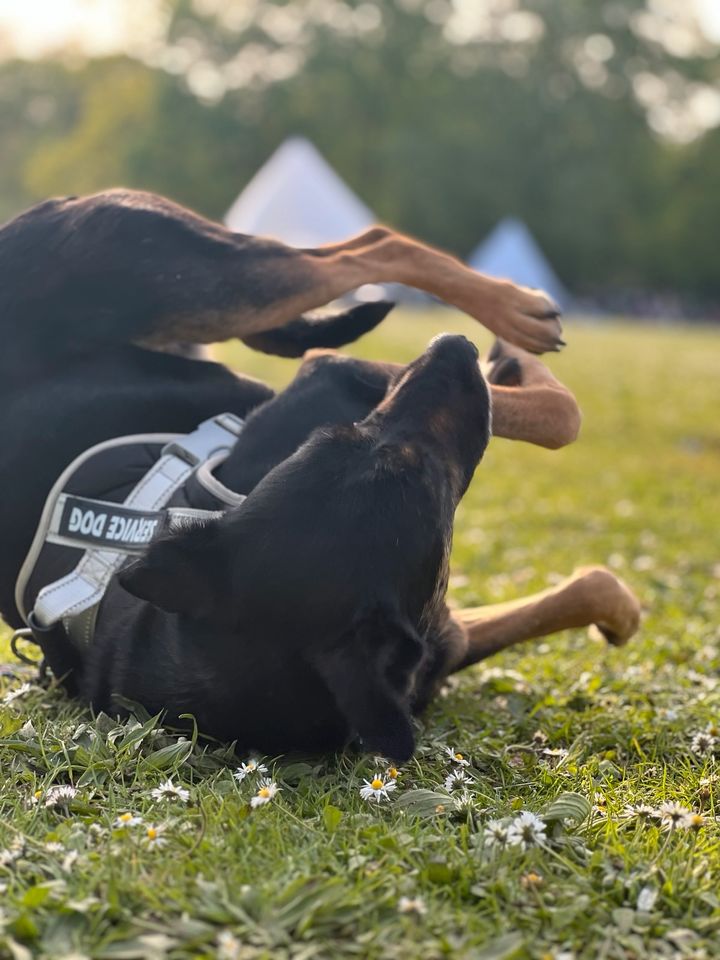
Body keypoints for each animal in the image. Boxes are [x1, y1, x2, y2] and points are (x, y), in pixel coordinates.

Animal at [0, 189, 640, 756]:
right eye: (416, 474)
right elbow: (557, 416)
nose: (449, 343)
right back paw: (514, 317)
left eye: (331, 439)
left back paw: (512, 313)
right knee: (361, 255)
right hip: (212, 285)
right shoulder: (344, 381)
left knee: (361, 247)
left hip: (207, 288)